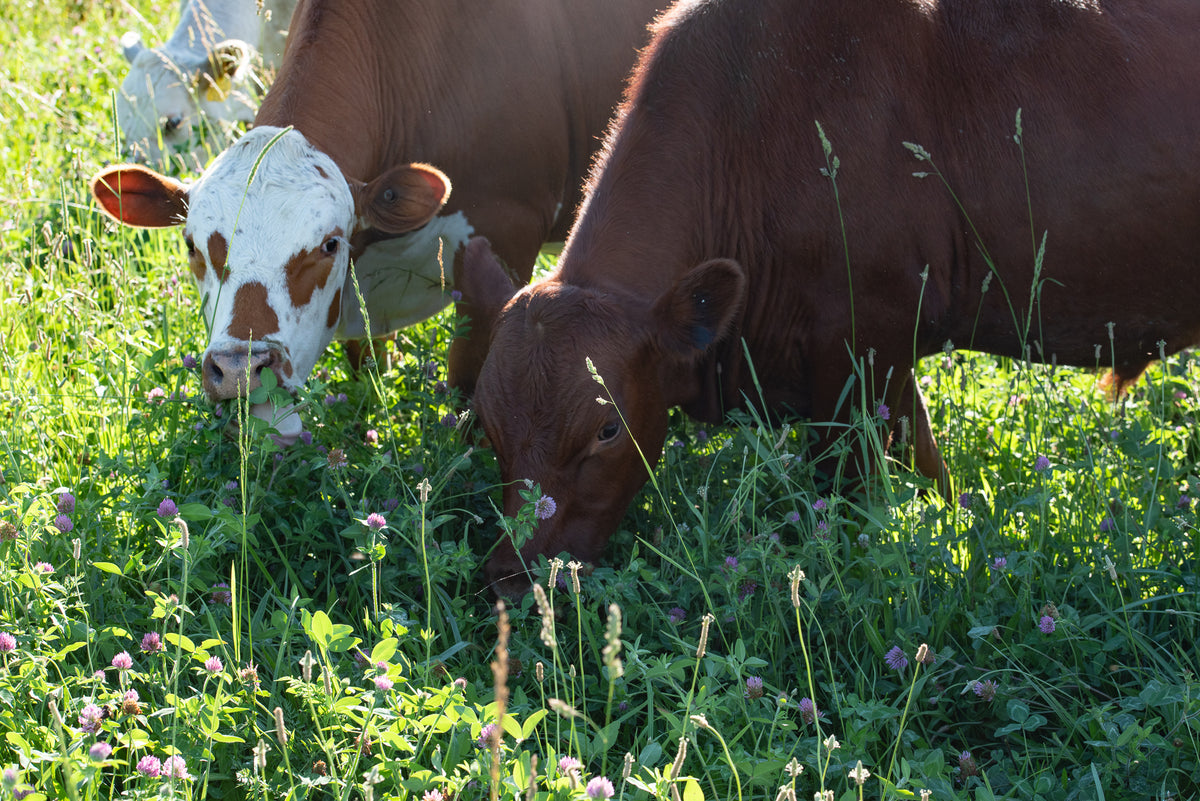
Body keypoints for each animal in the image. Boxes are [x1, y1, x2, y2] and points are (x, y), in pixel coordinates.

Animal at [459, 0, 1200, 594]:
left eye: (607, 428)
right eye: (486, 424)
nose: (509, 575)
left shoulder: (863, 348)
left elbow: (858, 499)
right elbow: (929, 465)